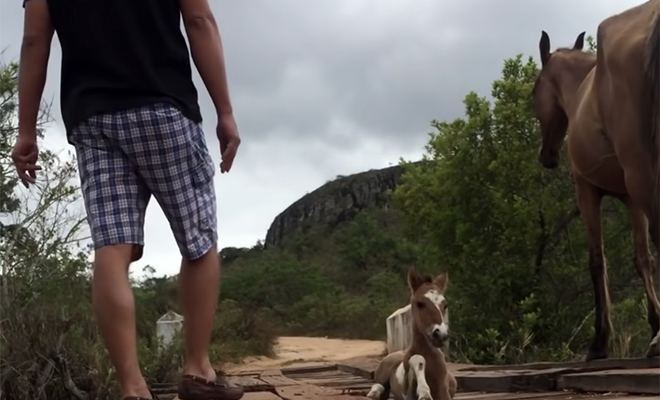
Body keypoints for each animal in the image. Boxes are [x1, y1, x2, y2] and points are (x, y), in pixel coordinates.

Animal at [366, 268, 454, 400]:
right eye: (420, 303)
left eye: (445, 305)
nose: (440, 334)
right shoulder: (407, 391)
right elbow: (418, 359)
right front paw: (424, 393)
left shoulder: (444, 392)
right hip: (381, 375)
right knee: (378, 386)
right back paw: (374, 393)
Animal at [532, 0, 660, 360]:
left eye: (534, 92)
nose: (547, 157)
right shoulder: (630, 199)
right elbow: (642, 259)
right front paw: (655, 324)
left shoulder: (587, 191)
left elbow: (596, 261)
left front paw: (600, 340)